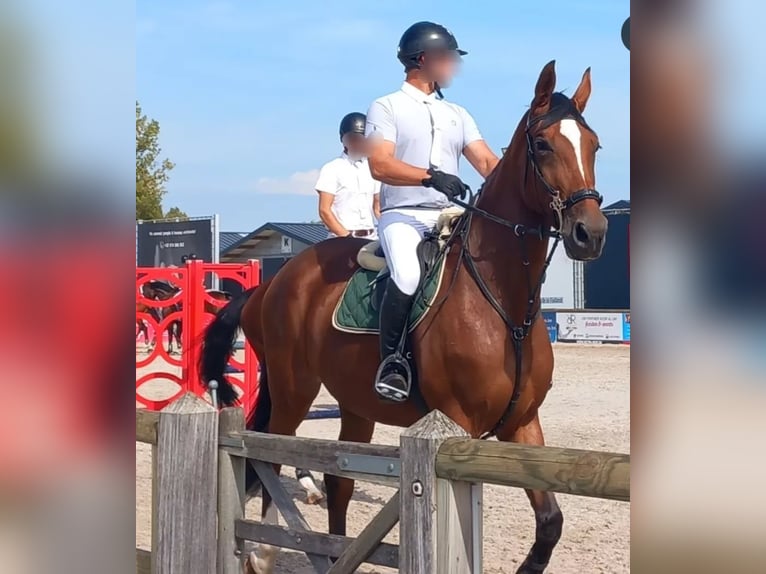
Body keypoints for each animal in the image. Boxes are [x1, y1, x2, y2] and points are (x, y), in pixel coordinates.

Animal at [200, 61, 607, 574]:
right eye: (542, 145)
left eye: (594, 144)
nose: (591, 233)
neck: (504, 304)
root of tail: (272, 282)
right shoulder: (456, 424)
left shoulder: (522, 422)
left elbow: (551, 519)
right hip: (295, 388)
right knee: (270, 454)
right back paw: (264, 551)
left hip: (352, 401)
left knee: (339, 481)